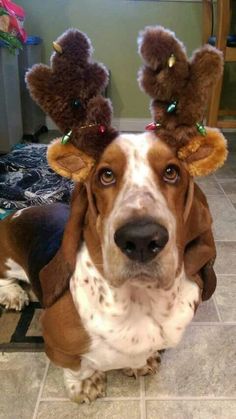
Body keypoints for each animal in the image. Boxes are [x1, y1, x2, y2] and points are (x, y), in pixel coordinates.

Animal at [0, 131, 221, 404]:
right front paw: (85, 384)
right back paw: (14, 294)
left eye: (171, 172)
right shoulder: (53, 341)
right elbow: (76, 367)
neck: (140, 300)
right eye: (106, 175)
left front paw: (141, 363)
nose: (141, 239)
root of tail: (19, 211)